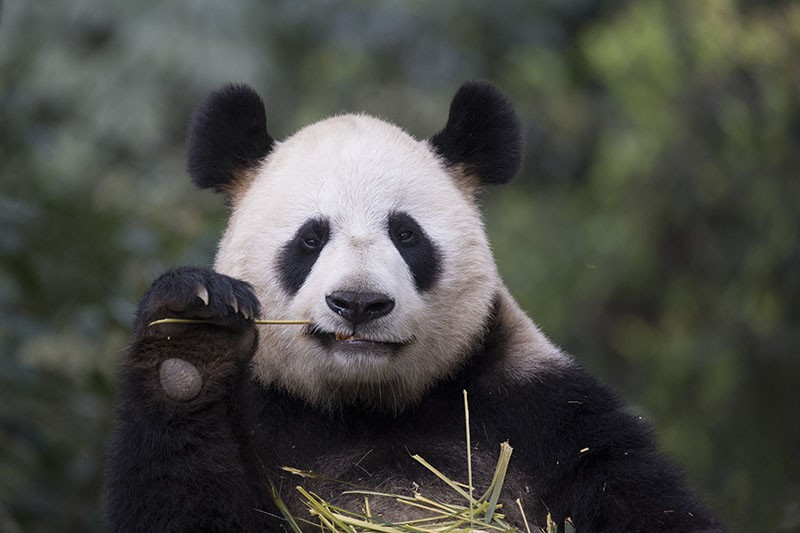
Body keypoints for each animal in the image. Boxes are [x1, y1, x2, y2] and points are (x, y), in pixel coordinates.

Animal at [104, 81, 724, 528]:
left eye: (406, 235)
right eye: (310, 239)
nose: (358, 303)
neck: (365, 407)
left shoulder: (545, 418)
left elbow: (640, 501)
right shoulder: (265, 418)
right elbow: (185, 504)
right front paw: (189, 342)